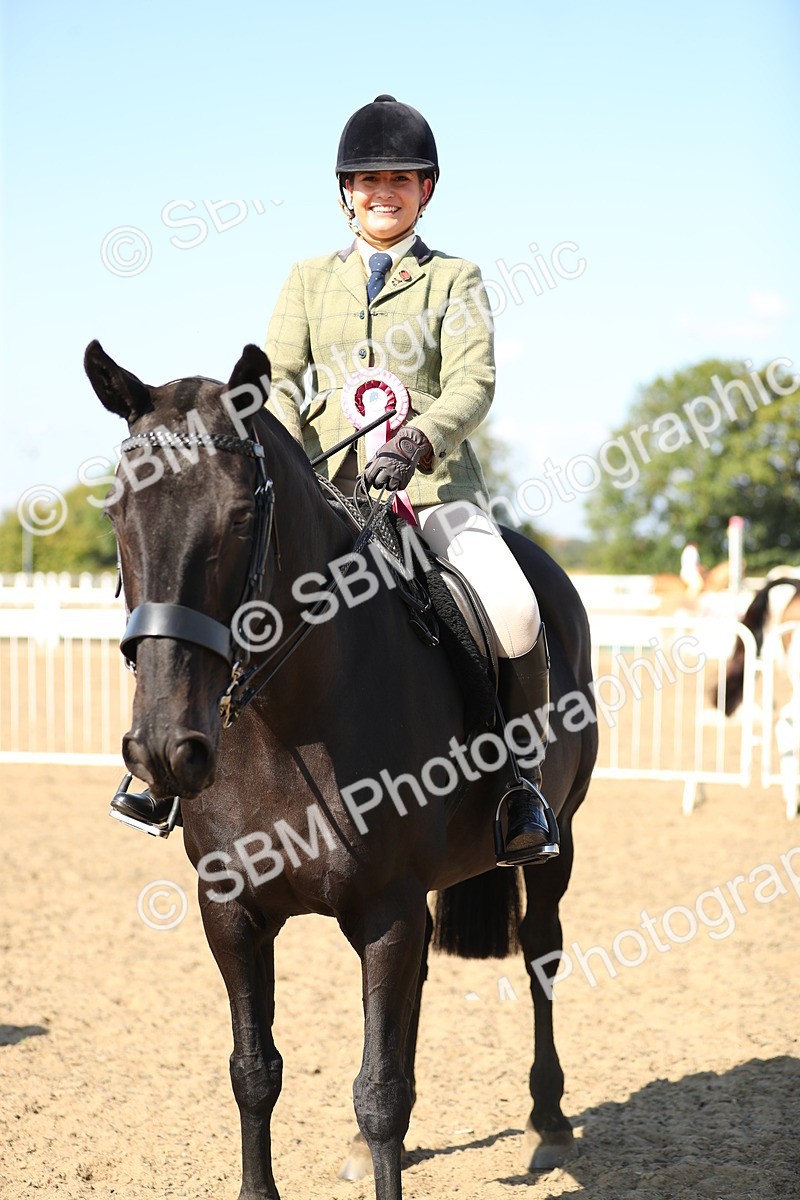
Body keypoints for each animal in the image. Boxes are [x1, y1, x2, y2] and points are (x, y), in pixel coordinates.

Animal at [84, 339, 598, 1200]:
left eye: (241, 516)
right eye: (119, 512)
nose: (162, 749)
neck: (284, 723)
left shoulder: (386, 911)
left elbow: (379, 1091)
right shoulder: (231, 914)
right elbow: (254, 1071)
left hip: (558, 833)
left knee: (541, 949)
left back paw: (550, 1121)